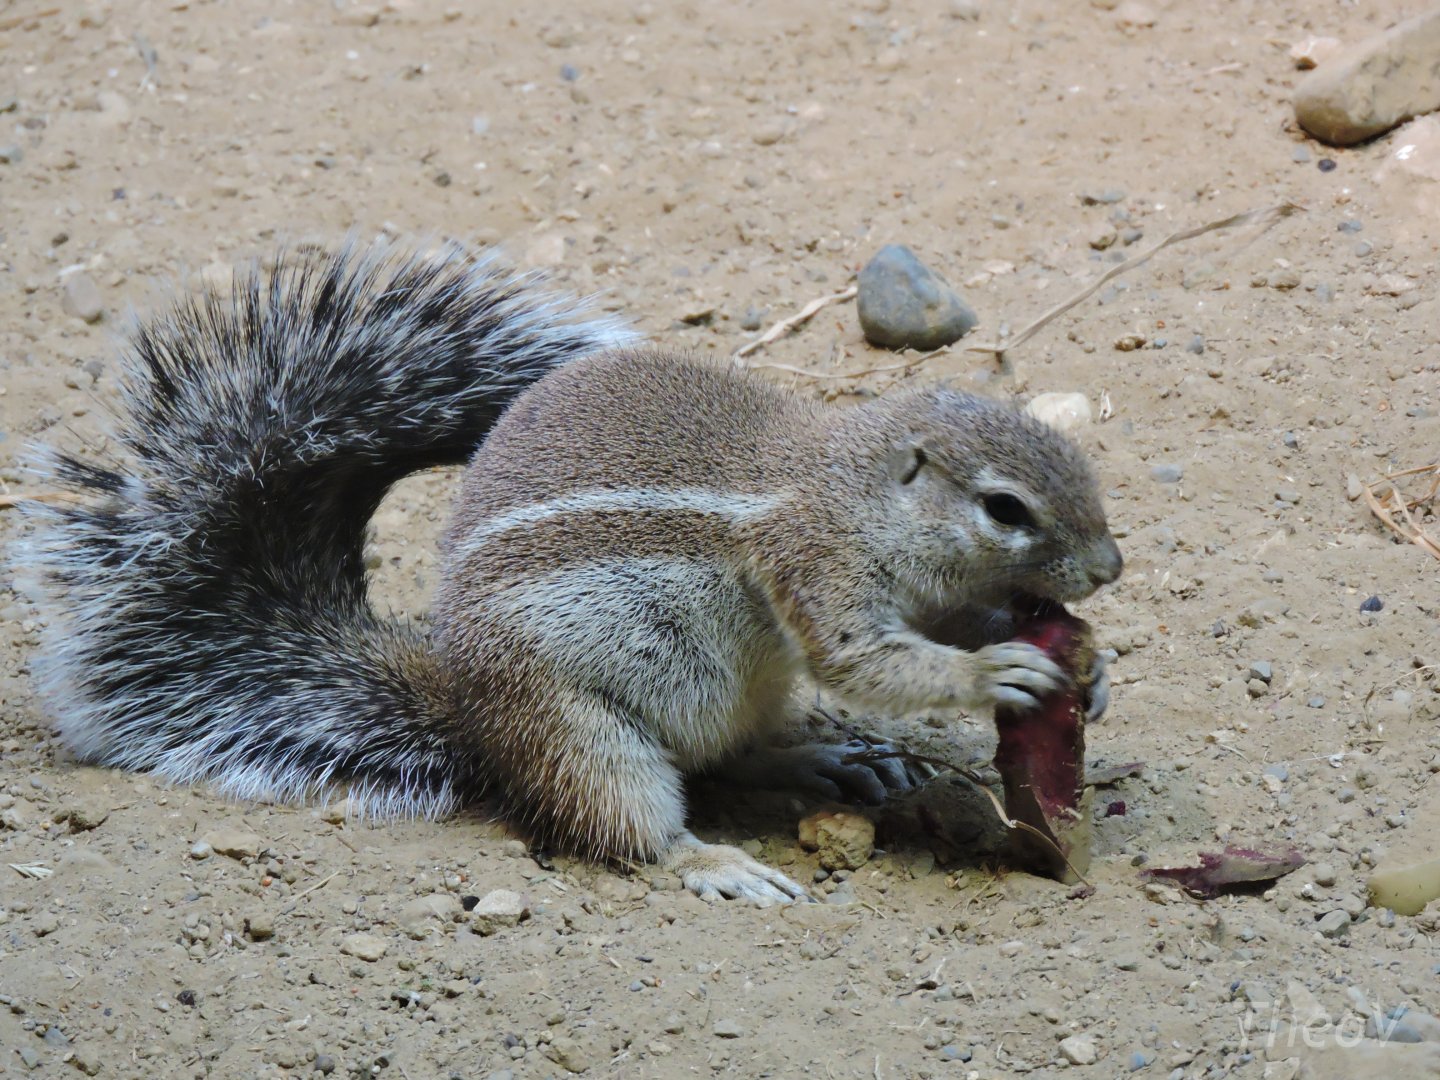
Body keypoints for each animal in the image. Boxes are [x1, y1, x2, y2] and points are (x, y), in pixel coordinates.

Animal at [18, 240, 1123, 904]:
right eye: (1005, 507)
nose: (1110, 568)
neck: (857, 488)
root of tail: (463, 712)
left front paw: (1085, 668)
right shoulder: (816, 566)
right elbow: (869, 658)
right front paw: (997, 673)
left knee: (727, 757)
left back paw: (824, 762)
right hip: (579, 735)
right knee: (636, 824)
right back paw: (718, 861)